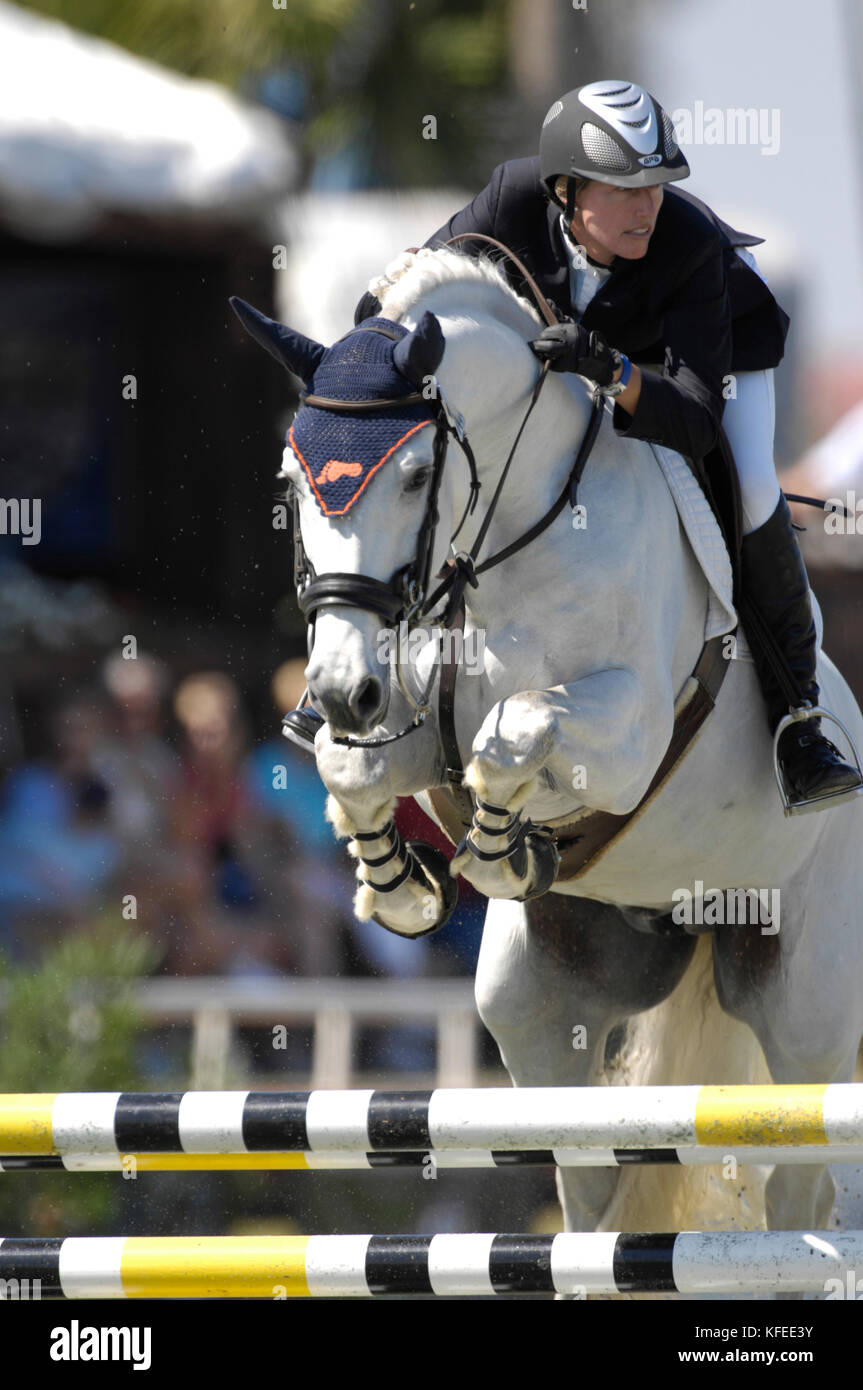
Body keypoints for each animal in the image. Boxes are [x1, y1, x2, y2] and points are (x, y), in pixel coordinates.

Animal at [232, 250, 861, 1251]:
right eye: (294, 484)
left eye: (414, 475)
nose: (337, 687)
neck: (506, 542)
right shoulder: (410, 727)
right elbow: (354, 762)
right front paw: (400, 886)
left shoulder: (628, 738)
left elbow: (515, 731)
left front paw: (498, 852)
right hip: (538, 1010)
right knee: (590, 1182)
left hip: (802, 1007)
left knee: (798, 1188)